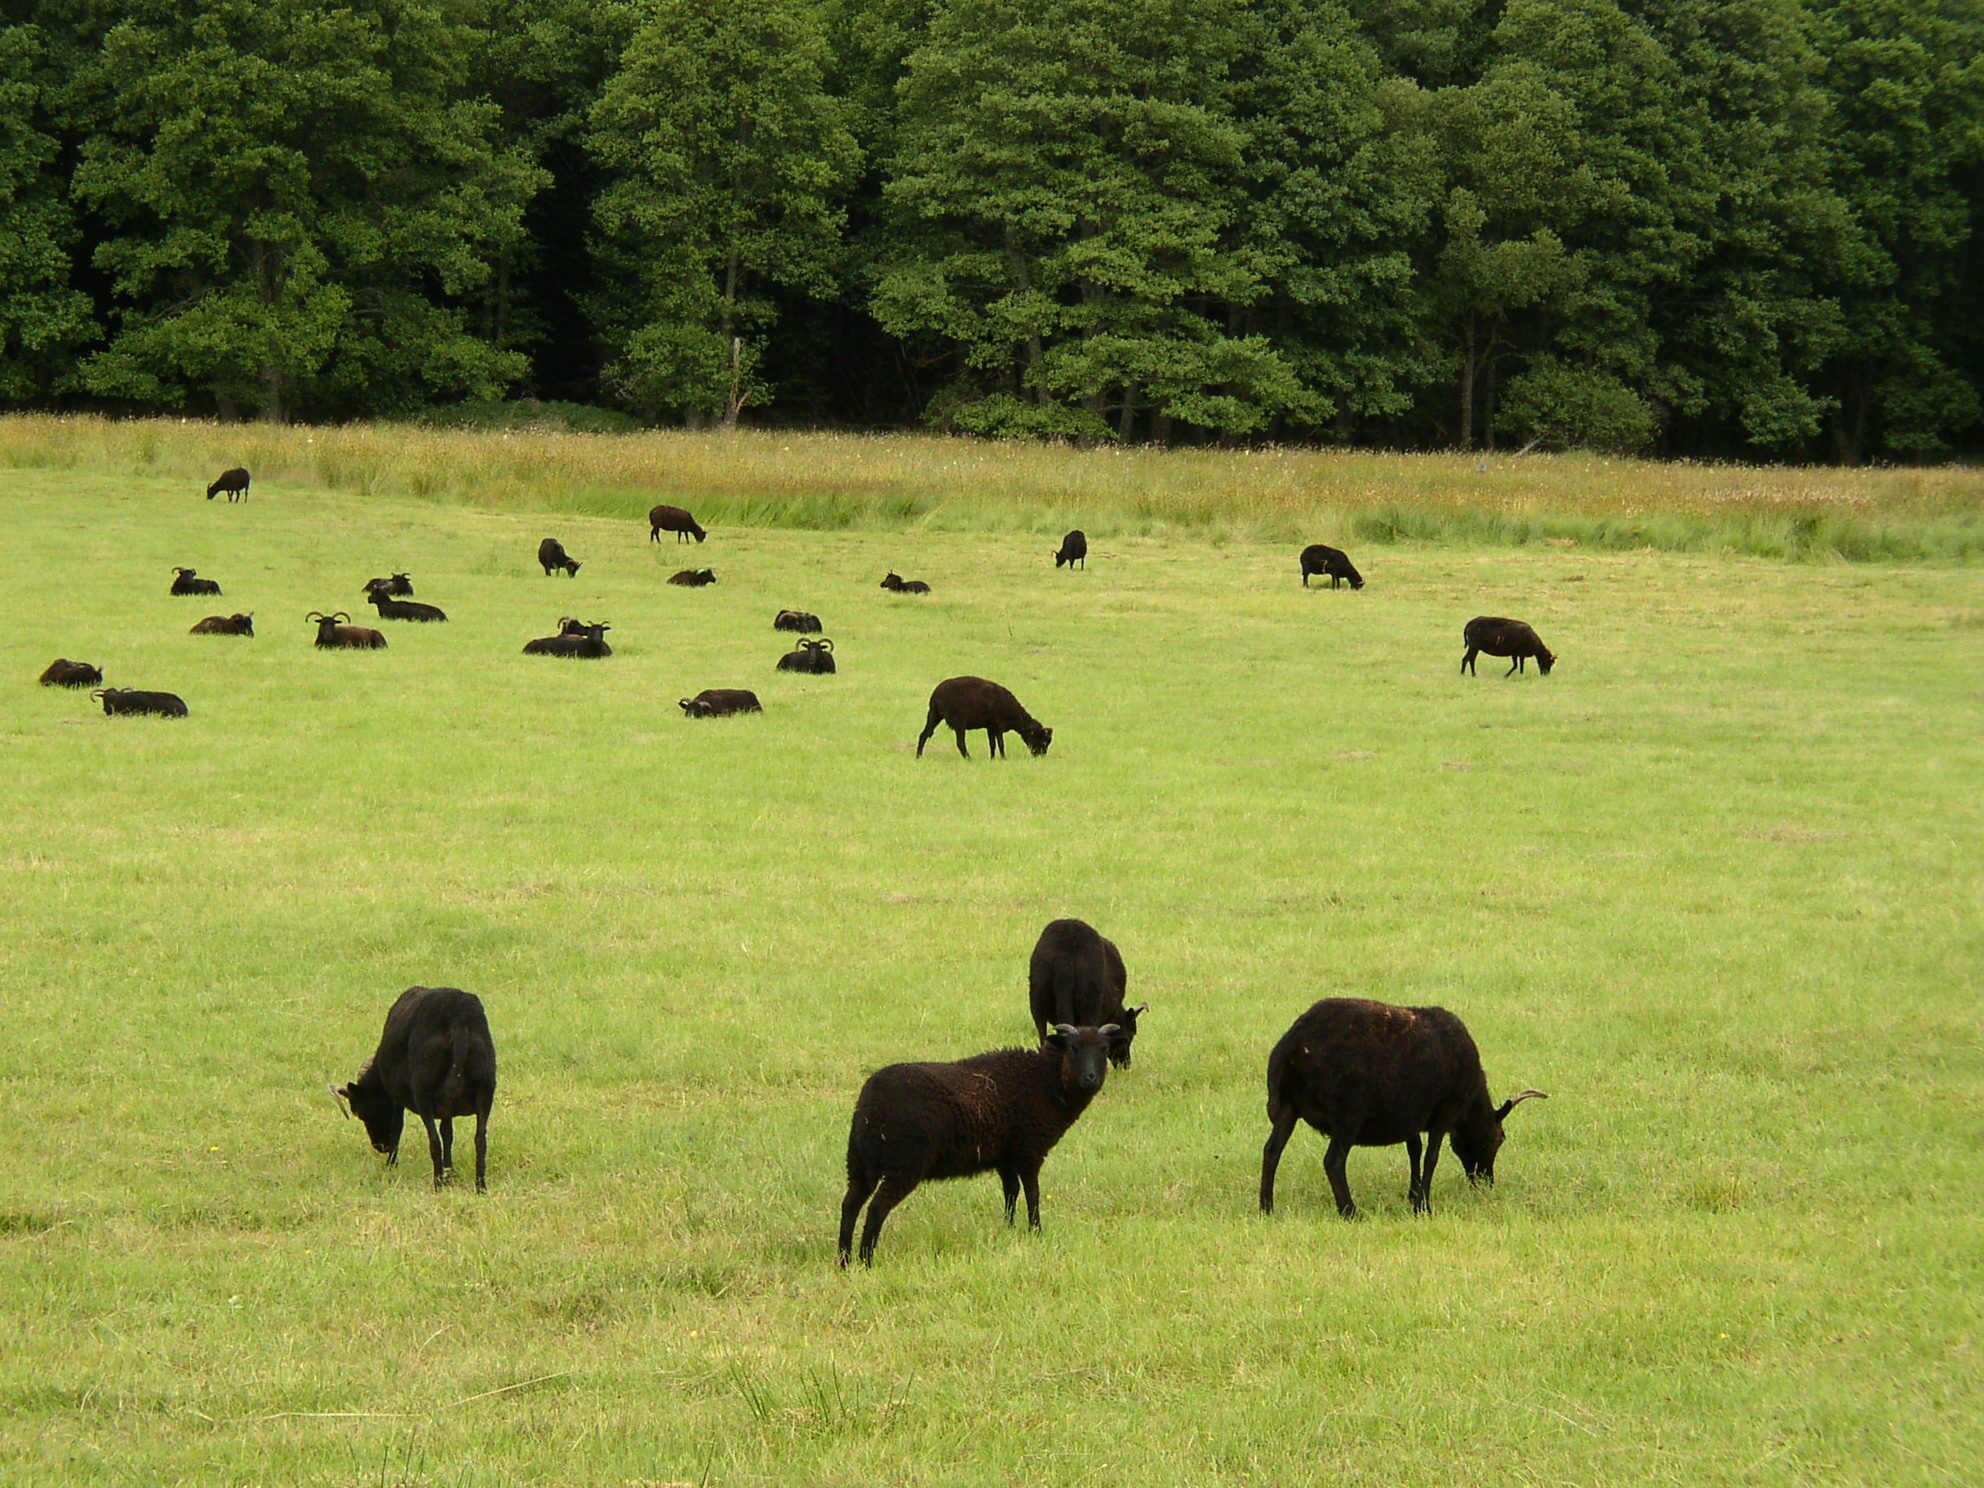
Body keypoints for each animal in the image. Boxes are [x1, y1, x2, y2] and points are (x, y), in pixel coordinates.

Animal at [325, 992, 496, 1198]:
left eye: (361, 1113)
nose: (380, 1147)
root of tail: (459, 1020)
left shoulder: (396, 1096)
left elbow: (397, 1126)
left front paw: (391, 1165)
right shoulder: (446, 1109)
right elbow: (448, 1133)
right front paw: (449, 1171)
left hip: (423, 1091)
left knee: (434, 1141)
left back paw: (437, 1185)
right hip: (486, 1088)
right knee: (480, 1140)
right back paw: (480, 1187)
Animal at [833, 1023, 1118, 1269]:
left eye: (1104, 1049)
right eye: (1073, 1048)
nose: (1090, 1078)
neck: (1046, 1081)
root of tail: (872, 1103)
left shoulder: (1005, 1156)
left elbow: (1011, 1192)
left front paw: (1008, 1229)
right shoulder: (1029, 1150)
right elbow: (1033, 1193)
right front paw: (1036, 1231)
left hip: (859, 1161)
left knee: (850, 1205)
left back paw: (845, 1260)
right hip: (905, 1163)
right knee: (876, 1208)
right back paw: (866, 1261)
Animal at [916, 682, 1055, 761]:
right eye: (1043, 741)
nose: (1041, 756)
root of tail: (935, 696)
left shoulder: (990, 727)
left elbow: (992, 744)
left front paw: (992, 759)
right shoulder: (998, 725)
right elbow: (1001, 744)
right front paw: (1004, 759)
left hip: (934, 715)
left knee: (923, 735)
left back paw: (918, 757)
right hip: (959, 720)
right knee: (960, 742)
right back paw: (969, 759)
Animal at [1023, 920, 1150, 1071]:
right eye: (1130, 1035)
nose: (1125, 1065)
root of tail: (1066, 954)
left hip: (1037, 999)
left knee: (1043, 1037)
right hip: (1089, 1002)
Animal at [1253, 1003, 1547, 1222]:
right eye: (1498, 1139)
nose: (1486, 1184)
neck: (1471, 1103)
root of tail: (1293, 1045)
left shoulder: (1409, 1116)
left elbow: (1414, 1150)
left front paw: (1413, 1194)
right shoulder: (1445, 1111)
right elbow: (1431, 1158)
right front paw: (1423, 1207)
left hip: (1287, 1107)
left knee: (1271, 1152)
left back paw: (1266, 1208)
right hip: (1348, 1114)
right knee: (1333, 1161)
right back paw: (1350, 1212)